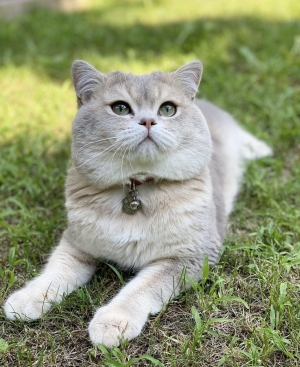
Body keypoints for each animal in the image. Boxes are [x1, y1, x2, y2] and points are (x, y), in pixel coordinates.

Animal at [4, 60, 272, 348]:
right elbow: (55, 272)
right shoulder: (76, 245)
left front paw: (113, 321)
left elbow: (141, 288)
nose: (148, 121)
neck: (137, 188)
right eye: (120, 108)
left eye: (168, 109)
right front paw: (26, 299)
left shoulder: (190, 257)